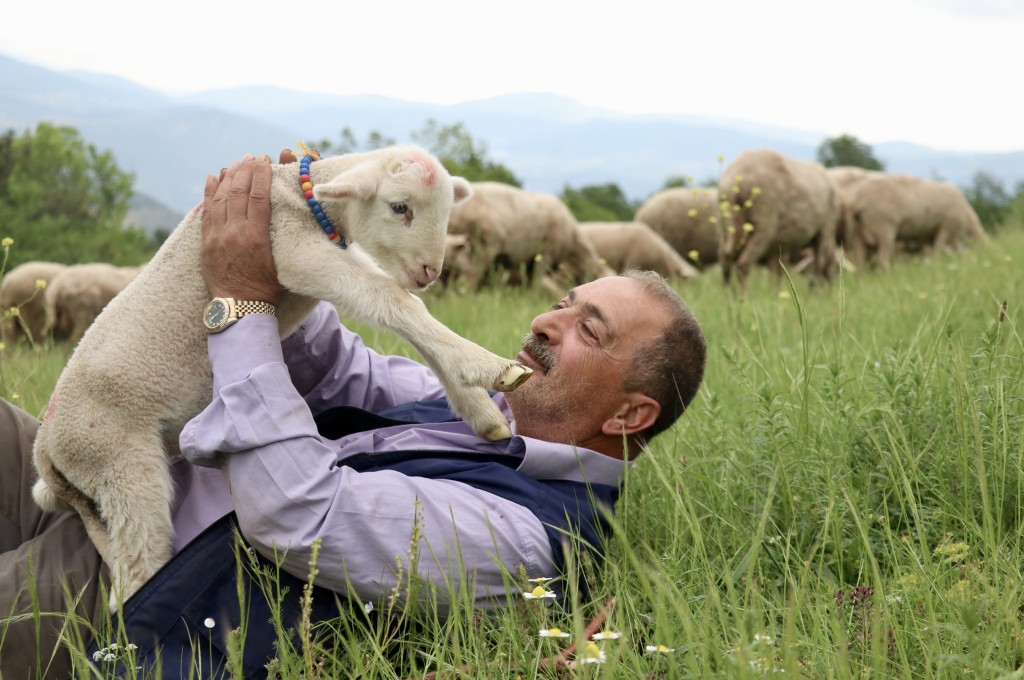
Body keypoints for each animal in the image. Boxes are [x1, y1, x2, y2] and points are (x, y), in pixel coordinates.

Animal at [30, 146, 532, 602]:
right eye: (399, 207)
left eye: (448, 212)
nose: (430, 271)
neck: (303, 200)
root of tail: (47, 453)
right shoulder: (292, 250)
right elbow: (393, 302)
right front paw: (488, 365)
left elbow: (402, 310)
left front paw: (481, 410)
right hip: (118, 462)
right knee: (137, 568)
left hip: (99, 488)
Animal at [446, 180, 610, 288]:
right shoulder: (546, 253)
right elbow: (537, 282)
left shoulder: (532, 260)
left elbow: (531, 284)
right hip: (482, 244)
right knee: (470, 274)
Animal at [720, 150, 839, 290]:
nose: (832, 287)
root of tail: (739, 175)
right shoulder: (825, 228)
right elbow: (818, 264)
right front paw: (816, 291)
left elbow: (779, 270)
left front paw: (777, 290)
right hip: (764, 217)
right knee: (744, 263)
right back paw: (742, 294)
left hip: (727, 222)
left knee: (726, 259)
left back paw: (727, 292)